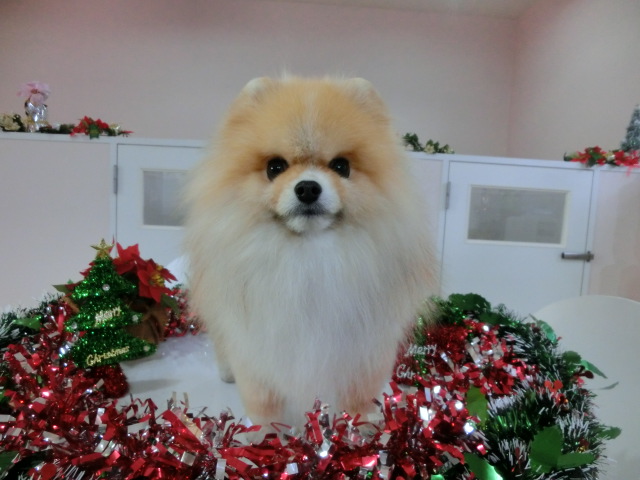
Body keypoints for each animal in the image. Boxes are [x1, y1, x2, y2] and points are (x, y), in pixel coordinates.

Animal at [184, 75, 436, 429]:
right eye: (275, 167)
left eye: (341, 166)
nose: (307, 188)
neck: (307, 258)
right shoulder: (257, 349)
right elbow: (265, 409)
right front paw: (263, 438)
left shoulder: (363, 351)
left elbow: (359, 405)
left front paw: (360, 434)